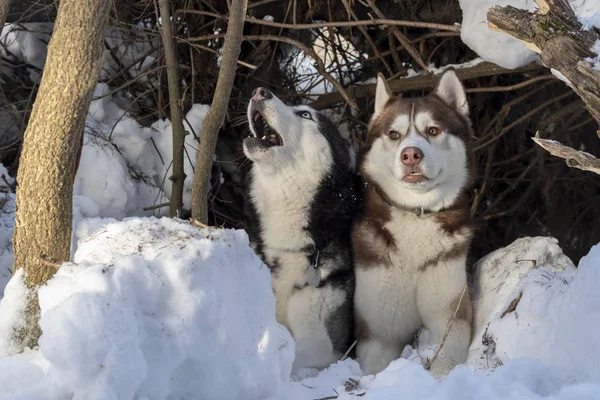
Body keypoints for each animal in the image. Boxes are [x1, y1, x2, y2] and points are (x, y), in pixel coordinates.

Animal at [352, 70, 474, 376]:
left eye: (433, 130)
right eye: (394, 135)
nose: (410, 155)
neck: (417, 216)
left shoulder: (451, 315)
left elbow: (446, 359)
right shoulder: (378, 331)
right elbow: (375, 369)